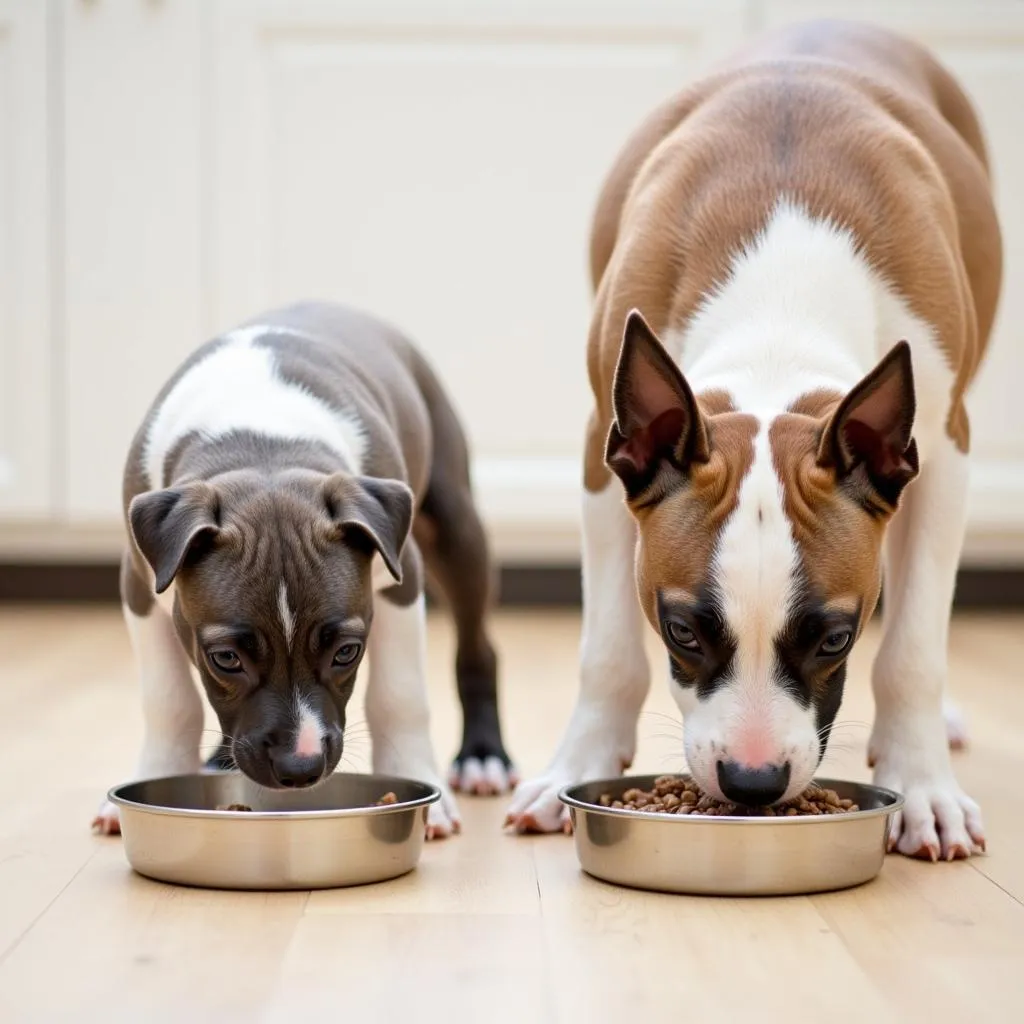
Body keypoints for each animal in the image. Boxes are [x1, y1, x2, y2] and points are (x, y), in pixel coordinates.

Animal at [92, 299, 516, 839]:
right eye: (225, 659)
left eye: (347, 652)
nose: (300, 768)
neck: (262, 444)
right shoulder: (140, 586)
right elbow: (169, 701)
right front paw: (158, 773)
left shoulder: (403, 579)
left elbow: (400, 694)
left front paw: (425, 790)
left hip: (455, 527)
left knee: (478, 646)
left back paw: (483, 757)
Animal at [507, 19, 1003, 860]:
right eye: (681, 629)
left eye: (836, 639)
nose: (752, 783)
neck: (782, 303)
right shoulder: (600, 462)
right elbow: (606, 649)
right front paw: (576, 763)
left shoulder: (949, 459)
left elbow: (913, 649)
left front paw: (921, 783)